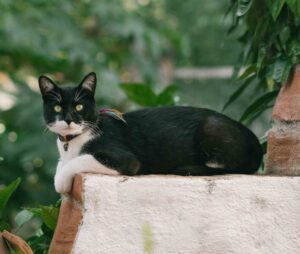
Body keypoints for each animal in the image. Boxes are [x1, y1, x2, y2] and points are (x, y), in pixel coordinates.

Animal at [38, 72, 262, 193]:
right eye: (57, 107)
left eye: (79, 107)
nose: (68, 119)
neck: (71, 142)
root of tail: (255, 141)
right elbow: (62, 163)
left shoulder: (125, 159)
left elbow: (80, 160)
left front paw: (61, 182)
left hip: (211, 127)